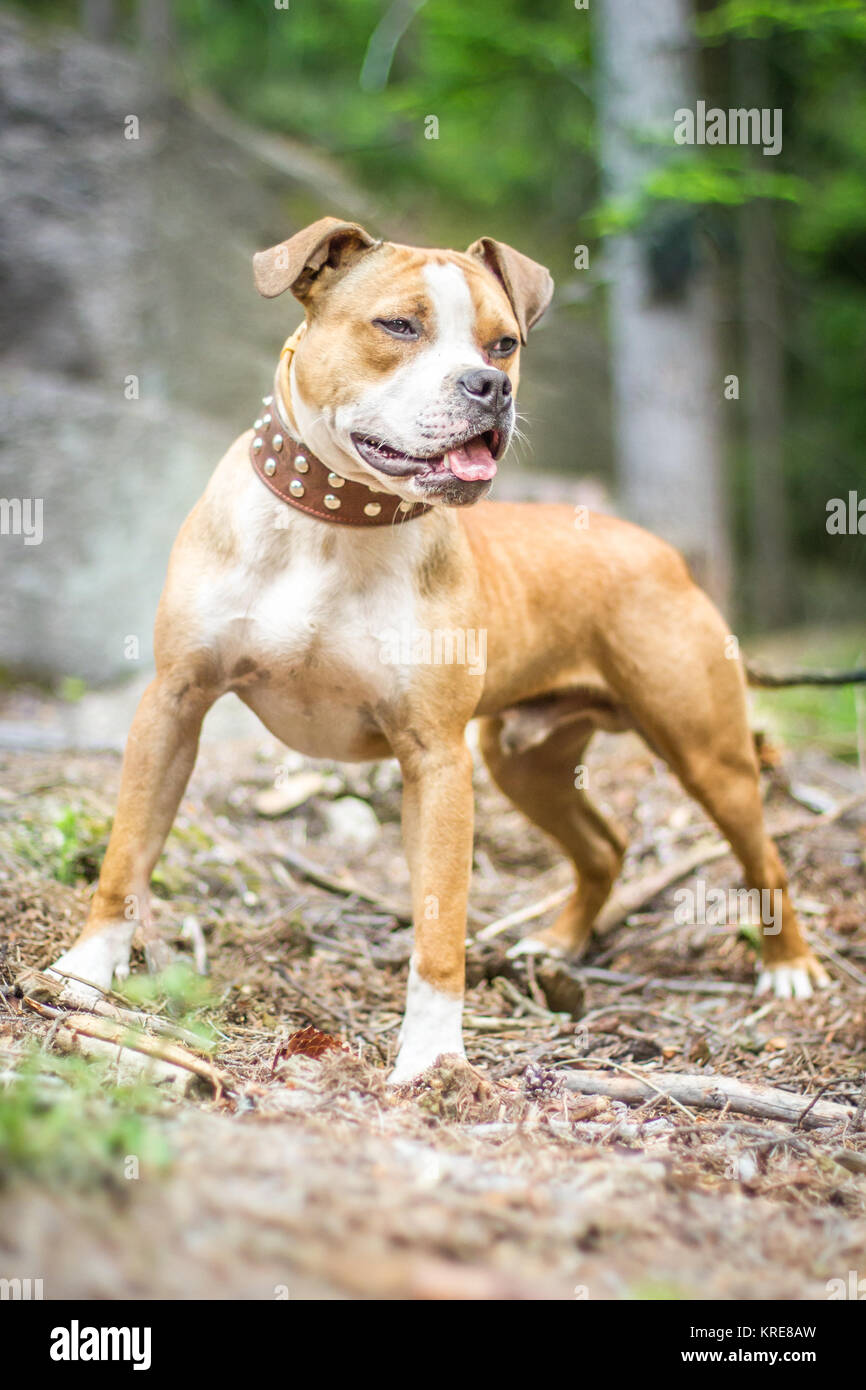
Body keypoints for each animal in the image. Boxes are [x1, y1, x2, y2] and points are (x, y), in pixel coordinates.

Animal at [45, 219, 834, 1084]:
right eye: (398, 326)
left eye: (504, 343)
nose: (489, 387)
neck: (336, 519)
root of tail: (661, 550)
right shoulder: (175, 703)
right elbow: (126, 852)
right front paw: (85, 971)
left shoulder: (436, 759)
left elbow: (439, 922)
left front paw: (431, 1060)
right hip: (524, 762)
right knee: (605, 847)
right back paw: (555, 946)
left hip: (704, 750)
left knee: (763, 859)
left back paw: (790, 968)